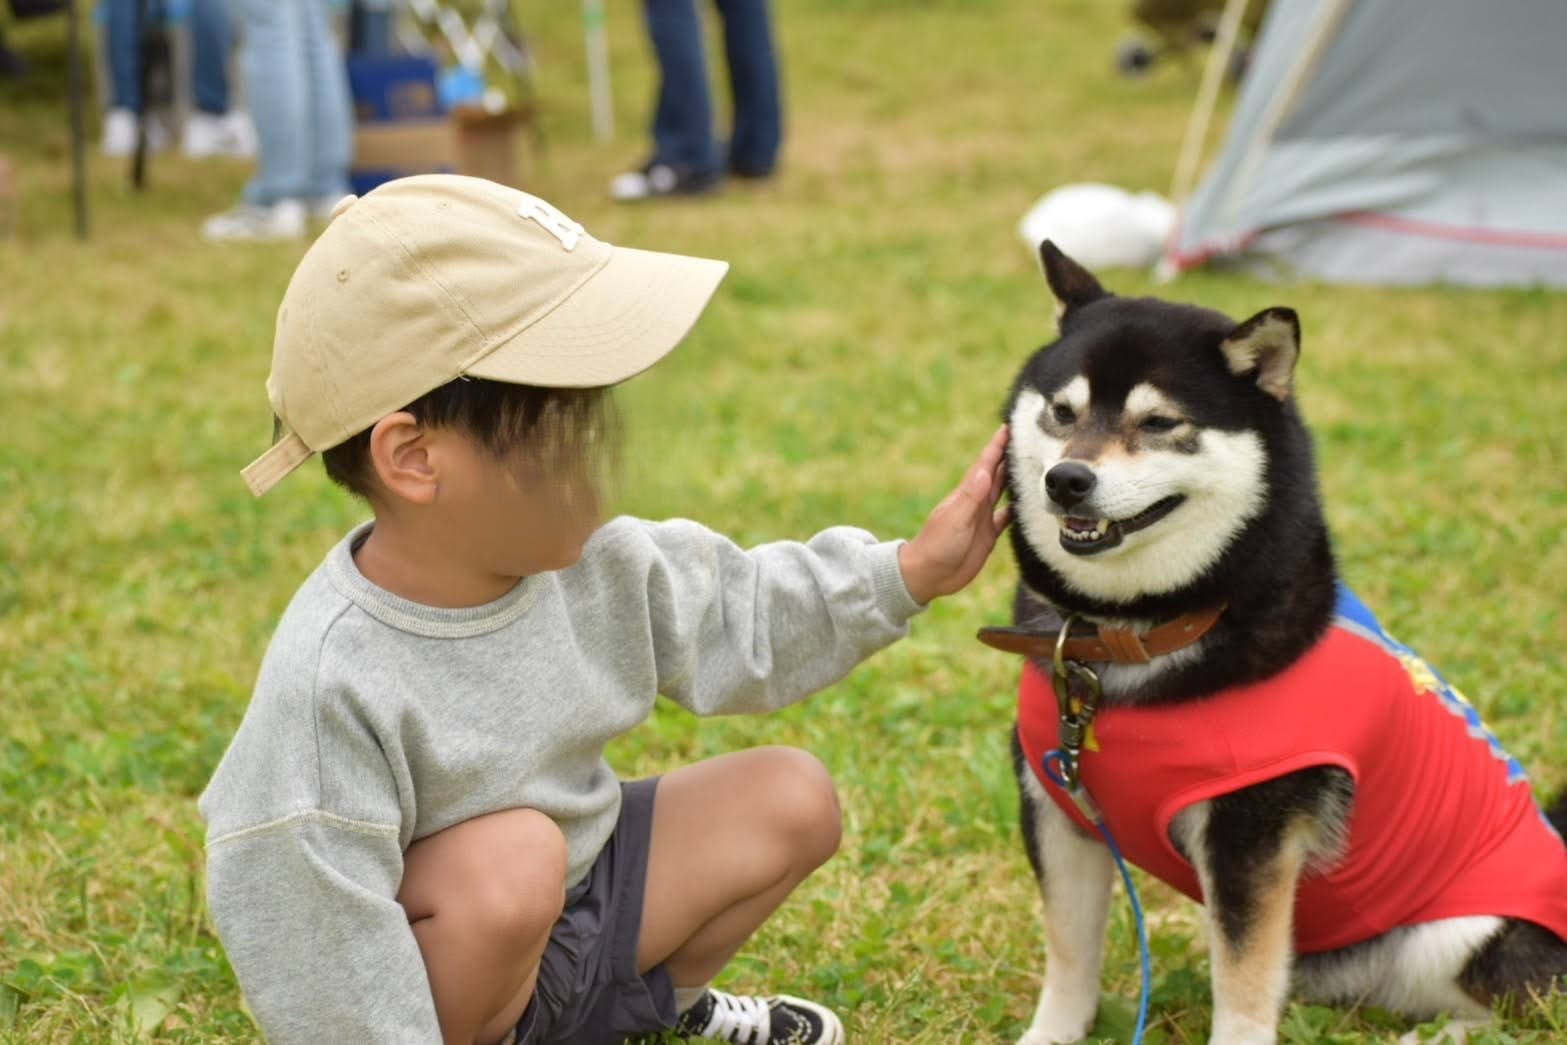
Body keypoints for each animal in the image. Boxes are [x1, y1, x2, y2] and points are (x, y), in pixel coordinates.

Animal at [990, 242, 1567, 1045]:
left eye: (1160, 421)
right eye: (1062, 411)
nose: (1065, 478)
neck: (1132, 639)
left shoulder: (1250, 836)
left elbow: (1241, 981)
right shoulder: (1057, 805)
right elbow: (1070, 958)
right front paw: (1050, 1034)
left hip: (1460, 932)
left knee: (1527, 1006)